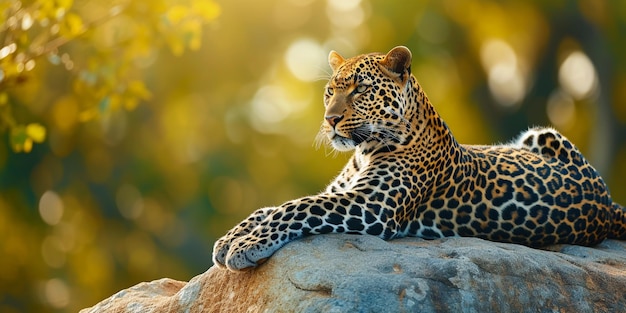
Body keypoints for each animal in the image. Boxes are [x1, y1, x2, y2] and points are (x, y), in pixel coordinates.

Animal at [211, 45, 624, 270]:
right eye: (330, 91)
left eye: (359, 90)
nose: (330, 120)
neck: (363, 151)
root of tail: (607, 203)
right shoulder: (342, 192)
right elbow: (270, 207)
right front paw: (230, 238)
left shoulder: (369, 207)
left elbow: (296, 206)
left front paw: (247, 245)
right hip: (539, 134)